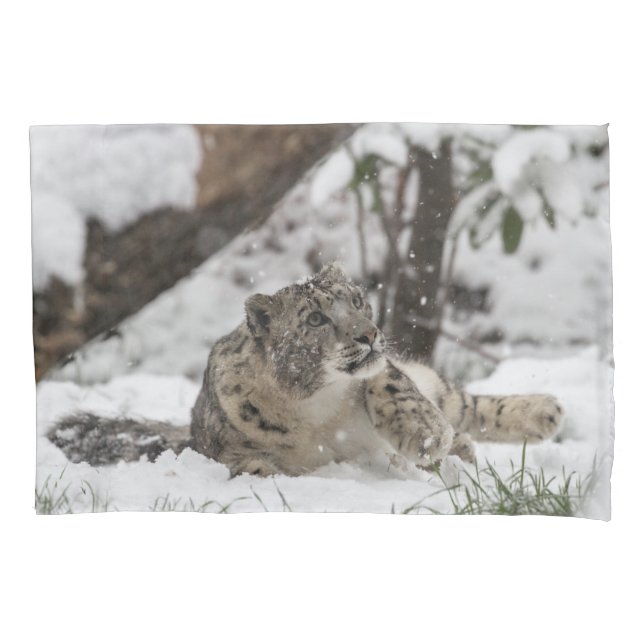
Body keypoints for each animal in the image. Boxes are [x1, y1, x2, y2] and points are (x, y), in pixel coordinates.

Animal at [49, 263, 564, 477]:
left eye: (356, 300)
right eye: (315, 319)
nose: (369, 334)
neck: (320, 409)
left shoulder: (384, 371)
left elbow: (389, 383)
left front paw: (423, 433)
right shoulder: (227, 445)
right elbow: (248, 466)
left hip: (440, 386)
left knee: (467, 404)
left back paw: (542, 412)